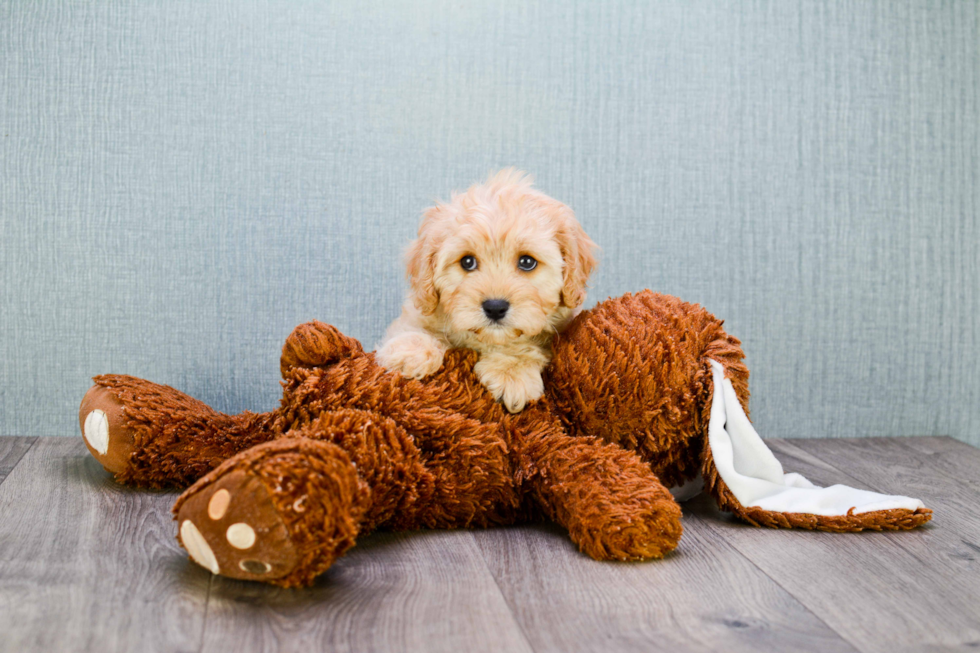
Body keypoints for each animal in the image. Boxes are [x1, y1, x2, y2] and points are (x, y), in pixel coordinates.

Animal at [378, 169, 596, 412]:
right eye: (467, 262)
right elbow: (413, 327)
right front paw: (410, 351)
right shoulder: (419, 310)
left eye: (527, 262)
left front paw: (512, 373)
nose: (495, 307)